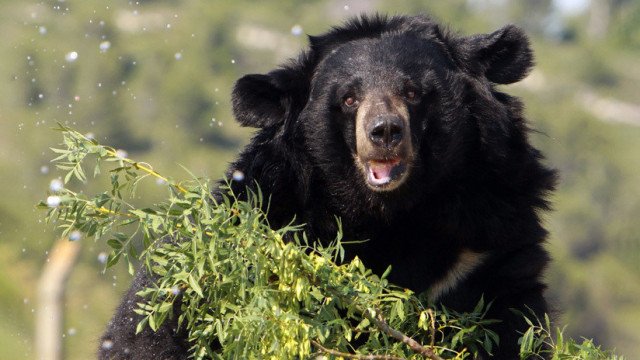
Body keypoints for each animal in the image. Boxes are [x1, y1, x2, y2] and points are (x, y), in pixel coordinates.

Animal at [99, 14, 556, 360]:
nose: (384, 132)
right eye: (349, 99)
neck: (389, 213)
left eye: (412, 91)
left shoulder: (486, 243)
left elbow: (511, 327)